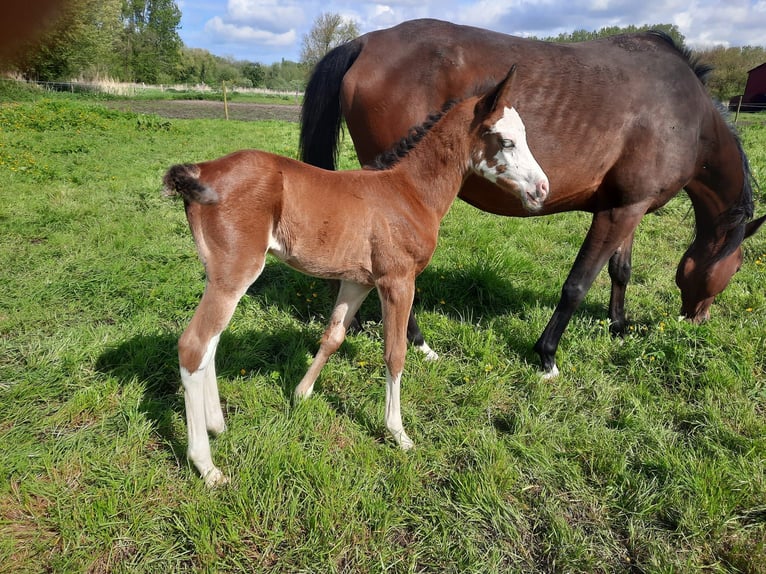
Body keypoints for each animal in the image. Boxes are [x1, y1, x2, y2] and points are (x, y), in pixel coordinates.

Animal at [165, 67, 548, 490]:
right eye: (507, 140)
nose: (542, 188)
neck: (409, 192)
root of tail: (203, 170)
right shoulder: (397, 281)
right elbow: (395, 353)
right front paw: (398, 433)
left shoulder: (358, 281)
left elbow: (333, 336)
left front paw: (301, 394)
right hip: (235, 274)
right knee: (194, 346)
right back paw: (206, 465)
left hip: (220, 276)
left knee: (211, 346)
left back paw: (217, 424)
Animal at [304, 18, 764, 380]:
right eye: (739, 267)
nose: (699, 320)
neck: (689, 115)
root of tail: (365, 41)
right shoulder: (619, 213)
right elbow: (578, 284)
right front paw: (547, 355)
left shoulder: (629, 207)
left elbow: (621, 270)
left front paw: (618, 326)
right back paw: (417, 341)